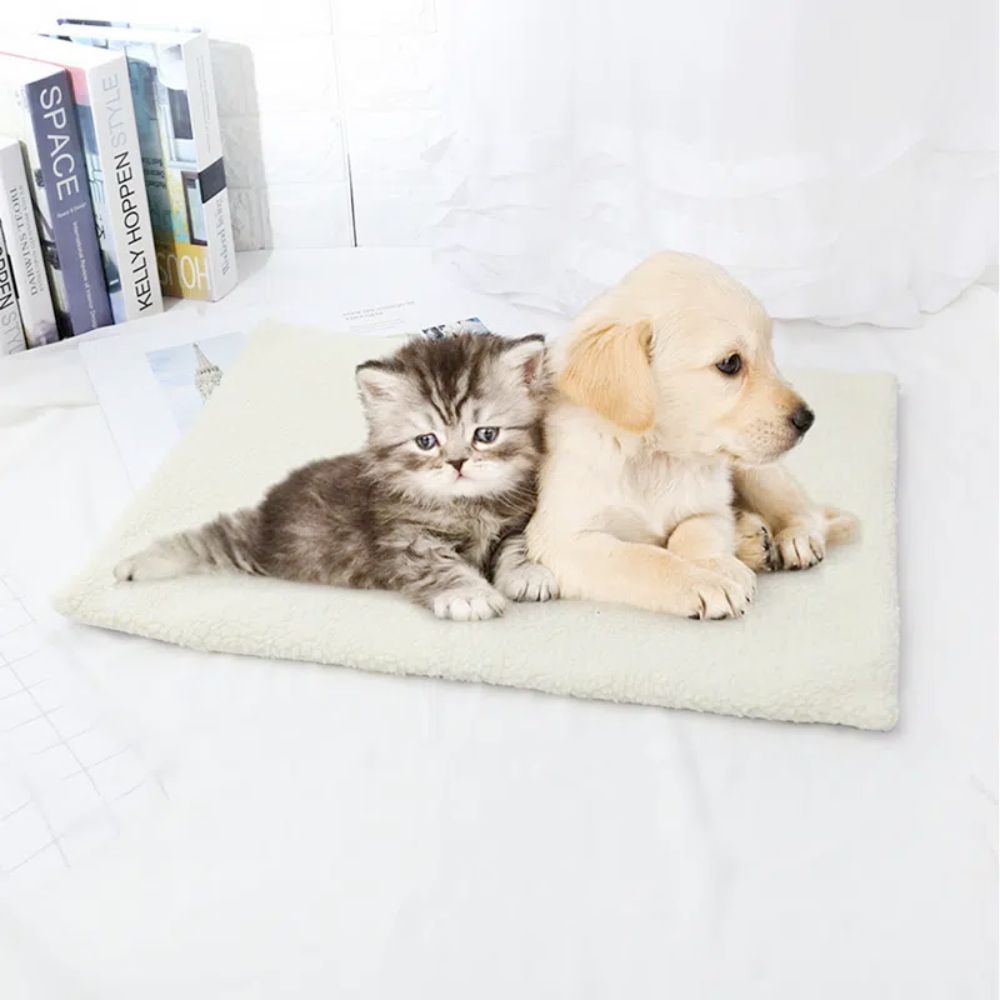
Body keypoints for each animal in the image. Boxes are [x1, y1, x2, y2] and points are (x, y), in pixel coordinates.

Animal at [115, 332, 564, 620]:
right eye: (426, 441)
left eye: (485, 434)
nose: (456, 463)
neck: (470, 507)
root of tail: (270, 502)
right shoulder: (405, 540)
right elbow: (438, 565)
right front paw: (468, 593)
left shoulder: (516, 519)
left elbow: (516, 544)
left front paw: (526, 574)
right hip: (259, 548)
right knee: (204, 539)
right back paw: (134, 565)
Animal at [524, 252, 860, 616]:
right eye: (730, 363)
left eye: (769, 354)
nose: (807, 419)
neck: (656, 455)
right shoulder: (564, 540)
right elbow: (645, 558)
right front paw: (703, 581)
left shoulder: (709, 510)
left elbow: (691, 534)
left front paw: (716, 565)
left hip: (756, 471)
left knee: (807, 511)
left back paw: (796, 538)